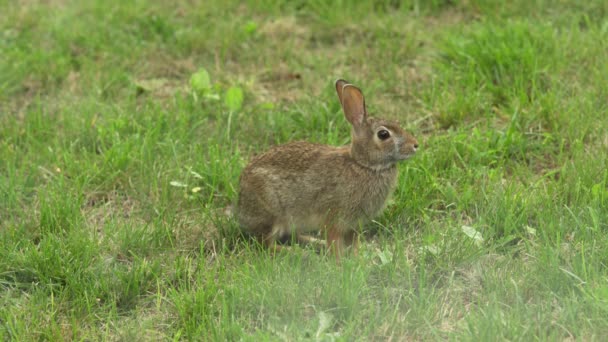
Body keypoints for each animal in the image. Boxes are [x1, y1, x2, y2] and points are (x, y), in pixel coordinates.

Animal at [238, 79, 418, 256]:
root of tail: (240, 204)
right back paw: (300, 253)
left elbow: (354, 242)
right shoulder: (334, 217)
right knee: (266, 244)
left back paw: (315, 244)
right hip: (272, 212)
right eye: (383, 134)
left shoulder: (354, 224)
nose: (415, 145)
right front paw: (340, 261)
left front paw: (357, 257)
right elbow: (335, 241)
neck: (363, 165)